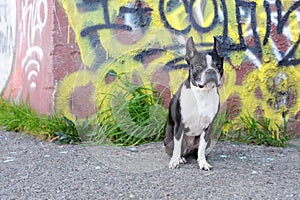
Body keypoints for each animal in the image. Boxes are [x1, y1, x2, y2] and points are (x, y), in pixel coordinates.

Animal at [164, 36, 223, 170]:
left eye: (218, 65)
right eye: (199, 66)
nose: (211, 71)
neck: (203, 94)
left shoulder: (208, 127)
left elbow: (201, 148)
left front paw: (203, 162)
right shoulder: (179, 125)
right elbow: (177, 147)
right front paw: (174, 161)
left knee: (197, 150)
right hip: (170, 138)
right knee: (178, 148)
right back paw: (180, 158)